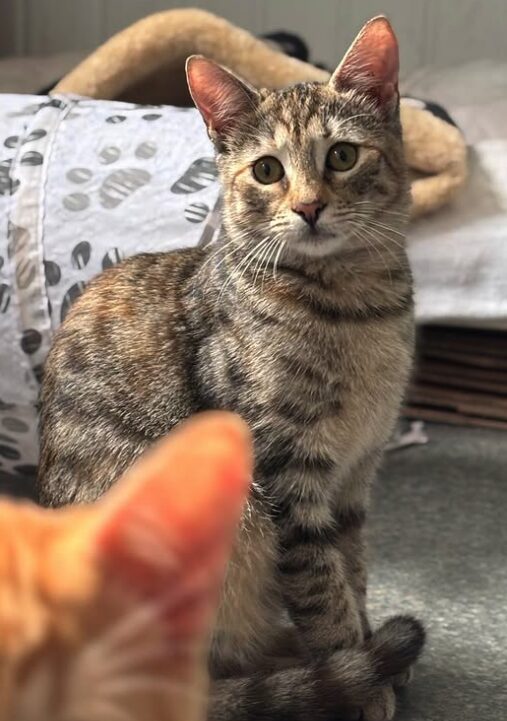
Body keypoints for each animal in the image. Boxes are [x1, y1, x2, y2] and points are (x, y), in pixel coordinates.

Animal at [37, 15, 422, 720]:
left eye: (343, 156)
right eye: (267, 170)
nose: (309, 207)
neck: (359, 307)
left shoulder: (356, 475)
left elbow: (351, 569)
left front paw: (366, 645)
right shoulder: (288, 475)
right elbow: (321, 587)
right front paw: (357, 674)